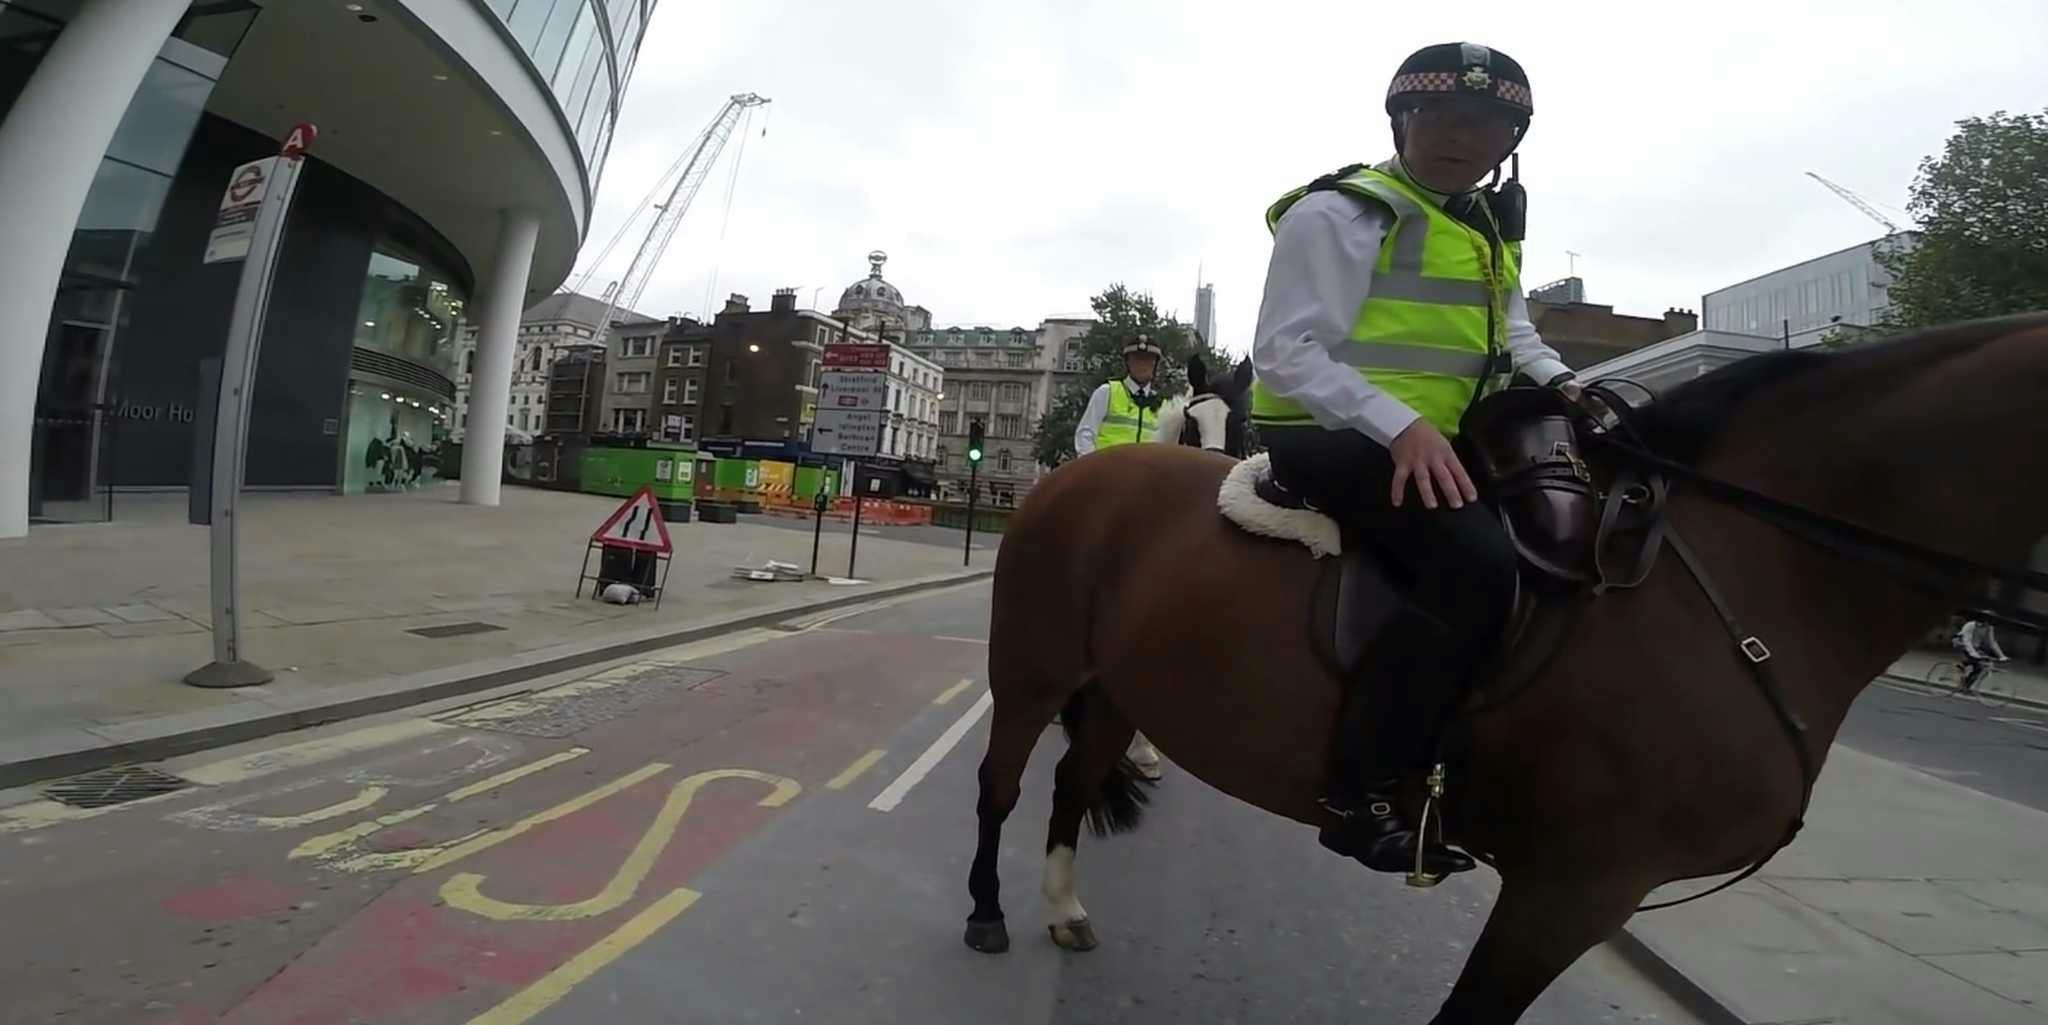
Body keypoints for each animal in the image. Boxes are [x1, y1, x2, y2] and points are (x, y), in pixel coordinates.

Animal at [958, 313, 2048, 1025]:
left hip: (1118, 681)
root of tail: (1072, 478)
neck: (1741, 566)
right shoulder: (1574, 883)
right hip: (1031, 665)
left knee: (1072, 779)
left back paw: (1063, 905)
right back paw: (987, 911)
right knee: (1001, 782)